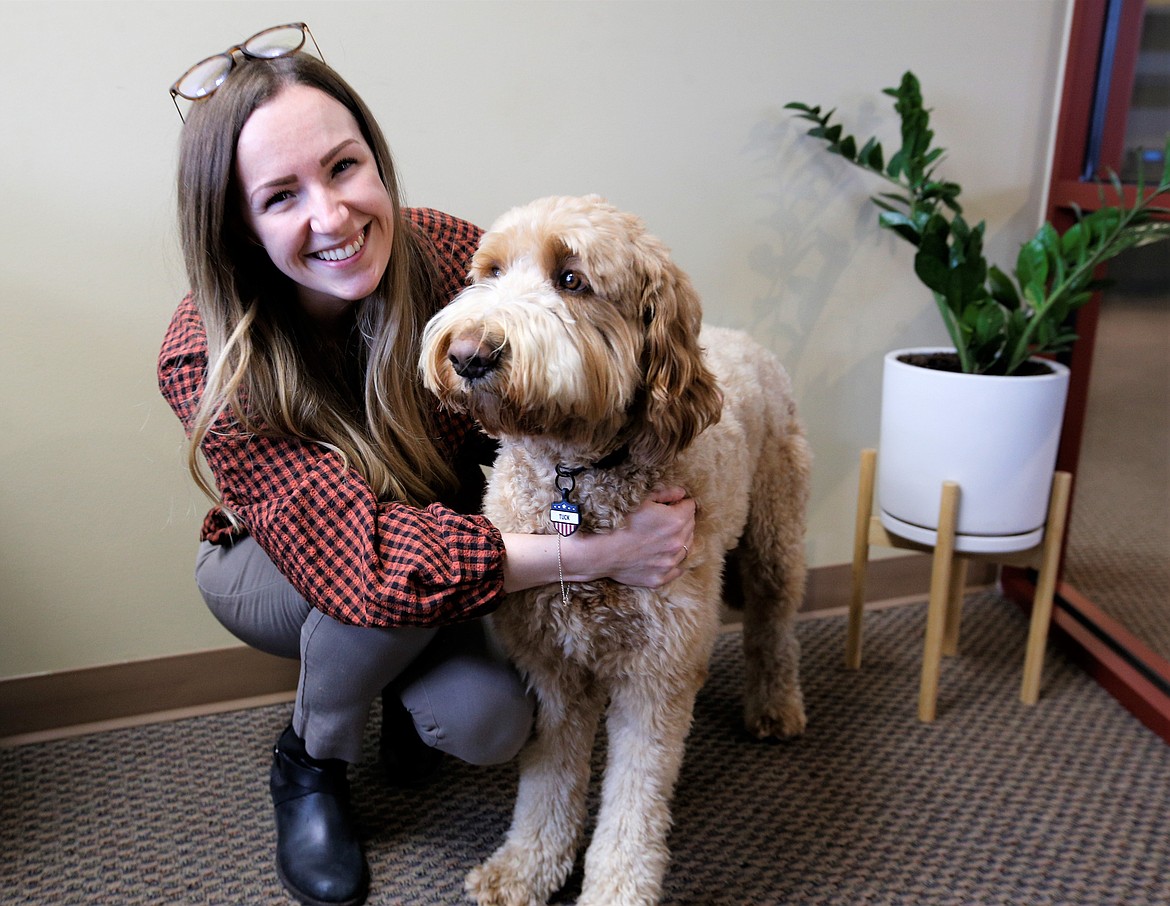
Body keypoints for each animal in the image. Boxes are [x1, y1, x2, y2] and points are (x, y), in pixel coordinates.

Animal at [421, 195, 814, 903]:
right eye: (489, 272)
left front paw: (616, 888)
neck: (576, 474)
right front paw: (527, 867)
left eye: (572, 279)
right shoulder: (549, 665)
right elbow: (547, 781)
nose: (468, 354)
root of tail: (743, 338)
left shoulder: (657, 674)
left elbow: (635, 799)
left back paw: (775, 706)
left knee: (774, 624)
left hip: (774, 534)